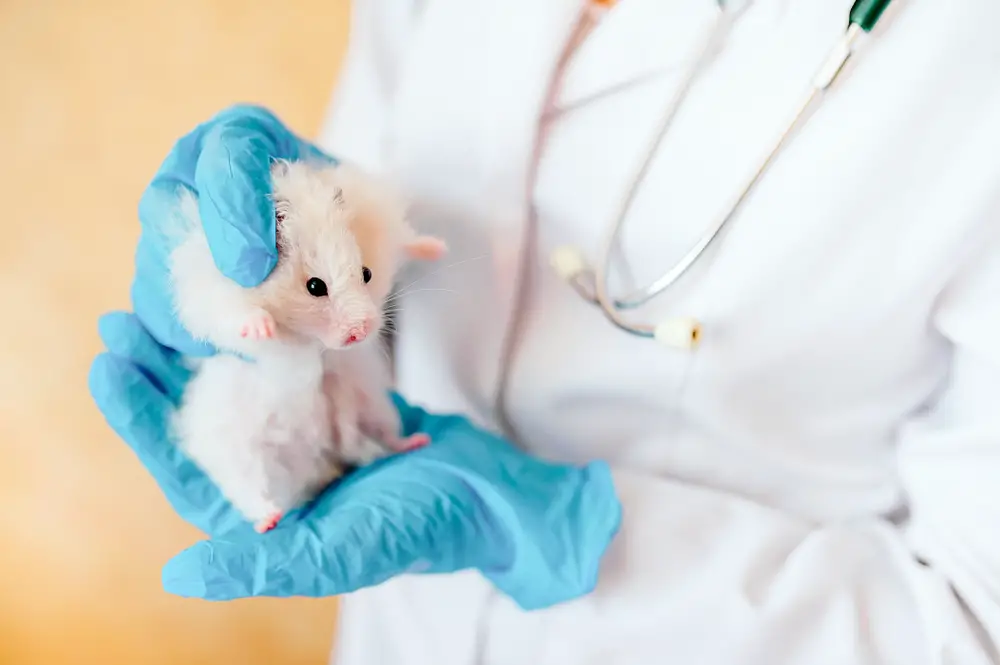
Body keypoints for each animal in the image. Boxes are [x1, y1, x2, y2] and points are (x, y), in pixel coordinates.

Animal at [165, 158, 446, 532]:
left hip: (373, 408)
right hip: (240, 452)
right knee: (250, 490)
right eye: (315, 286)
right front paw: (262, 328)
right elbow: (238, 312)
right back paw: (268, 522)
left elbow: (407, 241)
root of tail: (325, 451)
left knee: (381, 440)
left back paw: (415, 442)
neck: (312, 341)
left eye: (367, 273)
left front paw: (439, 247)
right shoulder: (214, 291)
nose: (360, 332)